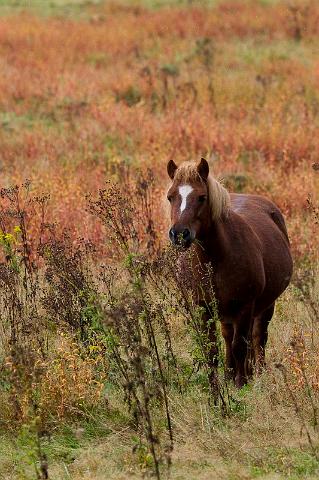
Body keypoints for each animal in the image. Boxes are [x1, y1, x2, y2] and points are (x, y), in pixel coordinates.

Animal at [168, 159, 296, 388]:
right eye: (170, 197)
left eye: (202, 197)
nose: (179, 234)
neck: (216, 258)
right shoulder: (204, 308)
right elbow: (211, 350)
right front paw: (216, 387)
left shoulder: (245, 306)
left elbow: (240, 346)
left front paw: (241, 383)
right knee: (229, 336)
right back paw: (230, 373)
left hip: (265, 305)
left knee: (258, 337)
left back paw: (256, 372)